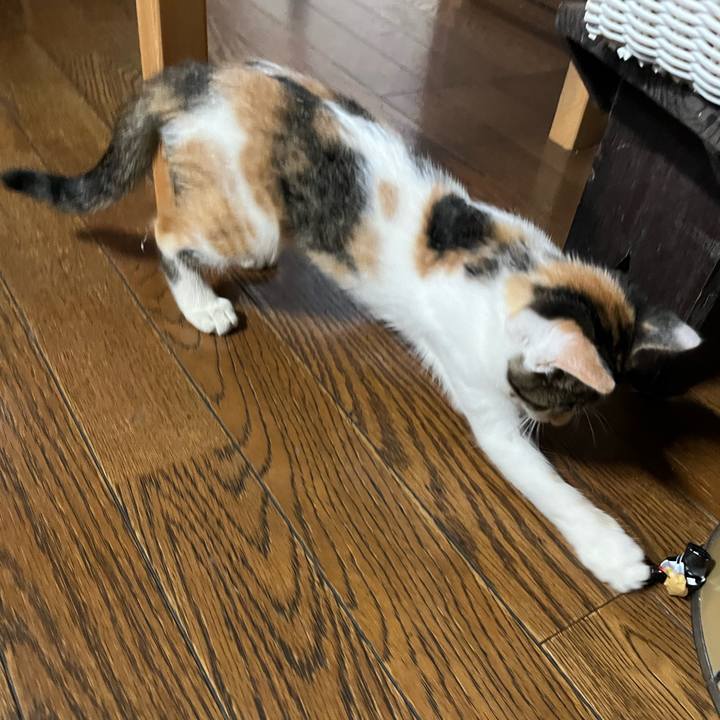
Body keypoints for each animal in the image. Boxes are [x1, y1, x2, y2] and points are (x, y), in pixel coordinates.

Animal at [2, 60, 701, 593]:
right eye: (557, 399)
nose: (552, 425)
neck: (519, 272)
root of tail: (206, 75)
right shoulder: (489, 413)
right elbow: (547, 484)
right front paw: (611, 550)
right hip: (252, 229)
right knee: (167, 231)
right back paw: (201, 303)